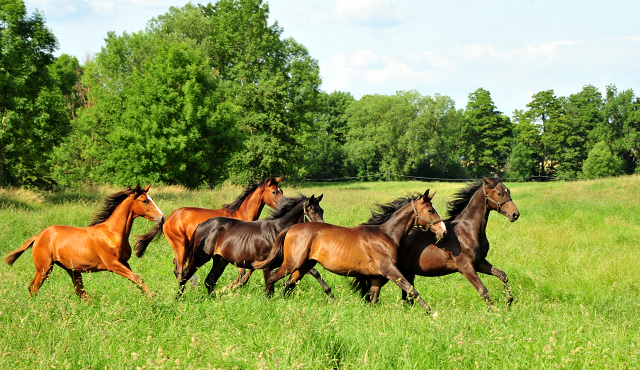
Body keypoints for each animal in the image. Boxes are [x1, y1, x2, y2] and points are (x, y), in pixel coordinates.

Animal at [4, 185, 165, 300]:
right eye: (145, 201)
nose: (162, 218)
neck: (112, 234)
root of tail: (38, 236)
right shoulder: (112, 264)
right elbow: (137, 278)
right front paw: (154, 298)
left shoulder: (124, 262)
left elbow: (136, 279)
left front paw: (149, 298)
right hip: (44, 268)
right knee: (34, 288)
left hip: (72, 270)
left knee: (80, 293)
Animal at [135, 176, 282, 284]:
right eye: (274, 192)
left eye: (281, 191)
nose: (284, 204)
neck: (240, 214)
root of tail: (167, 218)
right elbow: (242, 275)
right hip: (180, 245)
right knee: (179, 269)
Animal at [178, 194, 332, 298]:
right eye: (312, 212)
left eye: (322, 210)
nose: (323, 228)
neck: (277, 232)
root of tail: (201, 225)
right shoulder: (268, 266)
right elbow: (269, 288)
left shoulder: (290, 262)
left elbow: (314, 273)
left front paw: (330, 294)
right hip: (200, 257)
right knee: (185, 275)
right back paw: (178, 298)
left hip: (220, 261)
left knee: (210, 280)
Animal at [254, 189, 444, 314]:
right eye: (430, 210)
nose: (443, 231)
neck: (386, 235)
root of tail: (292, 228)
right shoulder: (389, 270)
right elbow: (410, 288)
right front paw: (431, 312)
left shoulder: (376, 277)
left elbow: (373, 299)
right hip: (293, 263)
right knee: (273, 277)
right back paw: (265, 300)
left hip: (304, 265)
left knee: (289, 284)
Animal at [352, 175, 524, 308]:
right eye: (500, 193)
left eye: (508, 191)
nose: (515, 214)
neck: (467, 231)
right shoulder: (466, 267)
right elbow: (483, 290)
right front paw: (496, 313)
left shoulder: (480, 263)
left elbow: (502, 275)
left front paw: (509, 302)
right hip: (387, 272)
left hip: (406, 272)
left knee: (405, 296)